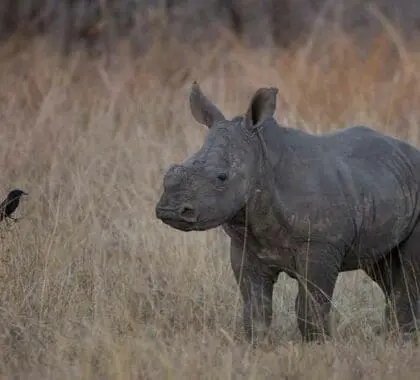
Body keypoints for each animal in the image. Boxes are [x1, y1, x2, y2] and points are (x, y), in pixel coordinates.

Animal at [155, 81, 420, 344]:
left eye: (222, 177)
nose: (170, 210)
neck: (261, 157)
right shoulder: (245, 246)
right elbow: (255, 305)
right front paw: (257, 344)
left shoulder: (320, 243)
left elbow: (311, 304)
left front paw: (318, 345)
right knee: (384, 269)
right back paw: (395, 336)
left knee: (406, 275)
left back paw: (403, 339)